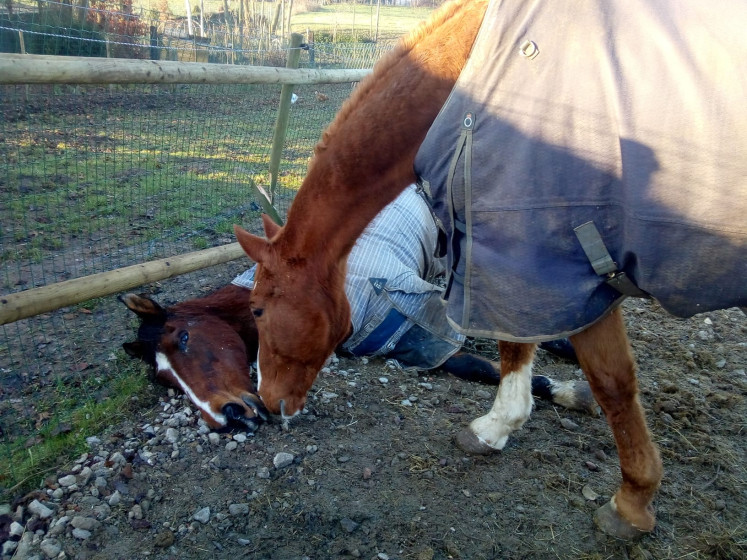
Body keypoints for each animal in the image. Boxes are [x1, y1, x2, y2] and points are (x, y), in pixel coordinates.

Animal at [121, 185, 598, 431]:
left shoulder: (420, 315)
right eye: (164, 380)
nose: (228, 416)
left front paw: (573, 391)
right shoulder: (414, 345)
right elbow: (477, 366)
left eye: (185, 338)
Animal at [231, 0, 747, 539]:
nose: (266, 400)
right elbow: (587, 369)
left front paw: (625, 498)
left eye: (259, 310)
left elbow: (601, 378)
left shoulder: (538, 264)